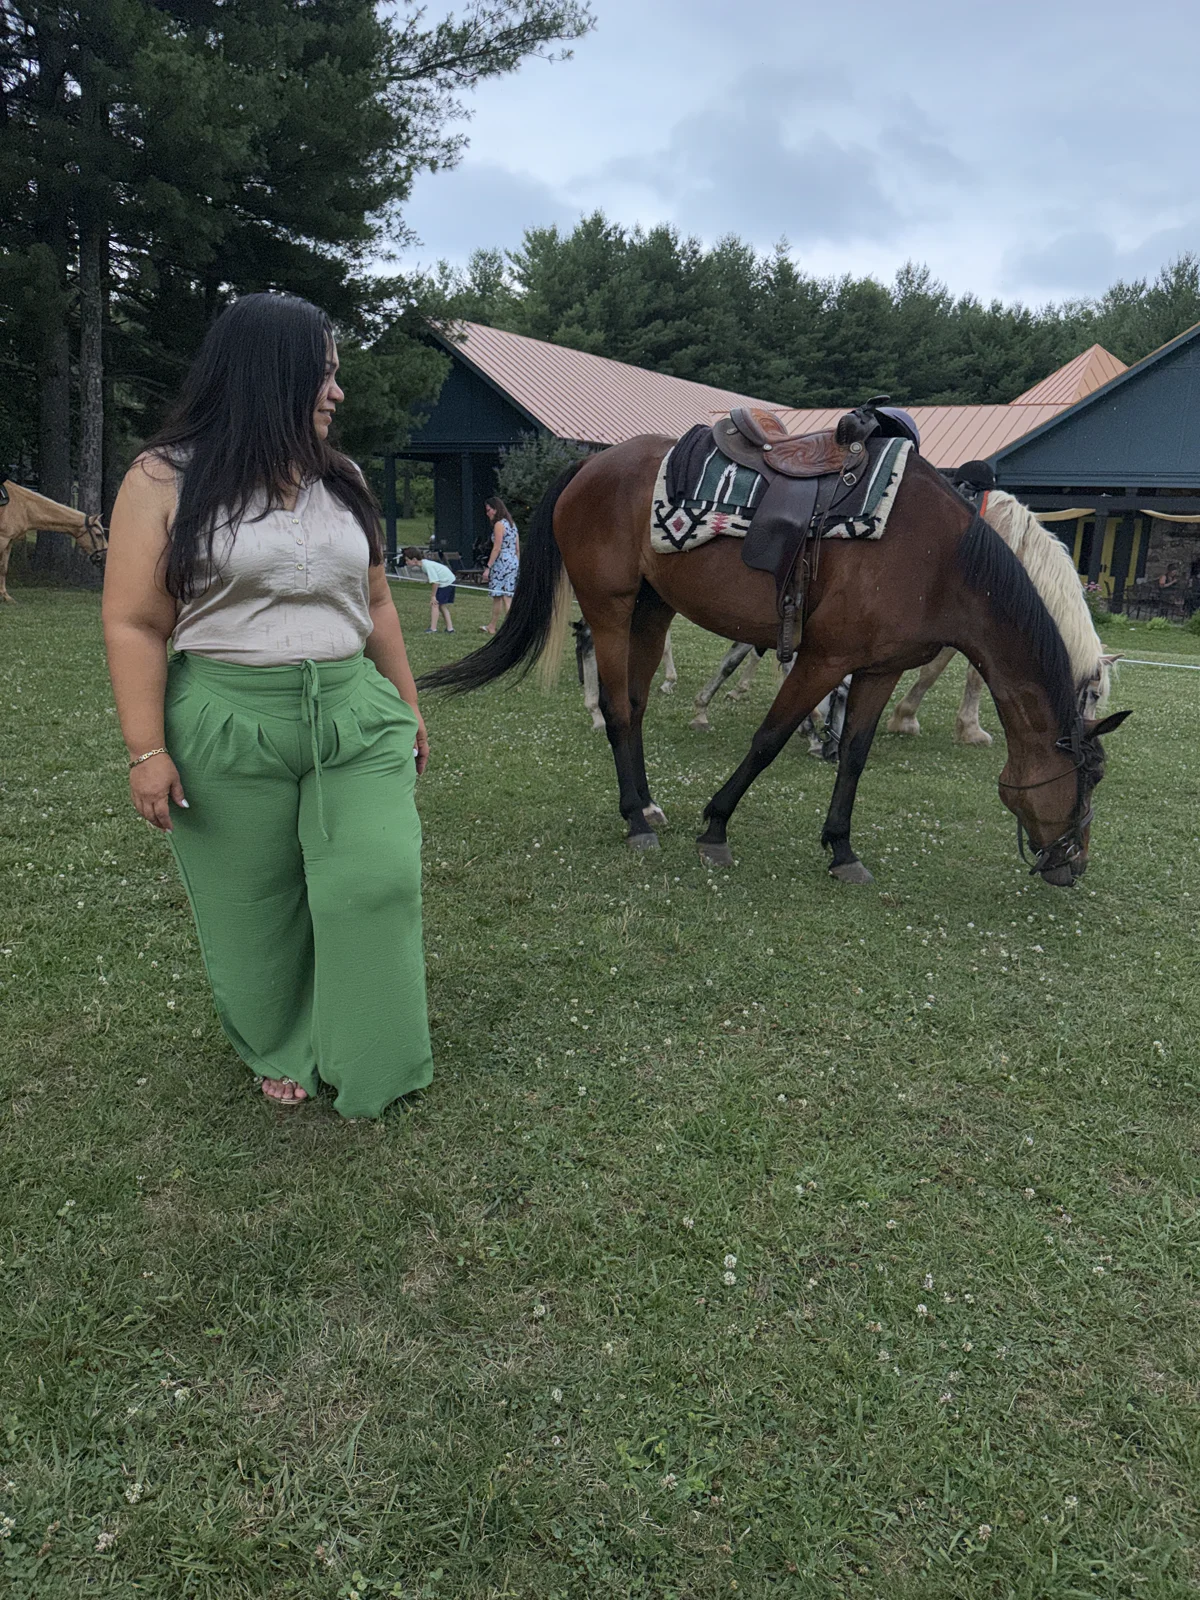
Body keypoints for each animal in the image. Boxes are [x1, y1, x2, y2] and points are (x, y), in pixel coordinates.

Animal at [421, 432, 1129, 888]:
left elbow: (855, 756)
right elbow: (768, 738)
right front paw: (716, 828)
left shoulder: (879, 666)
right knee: (617, 705)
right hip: (611, 606)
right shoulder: (824, 658)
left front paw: (841, 849)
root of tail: (588, 467)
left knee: (637, 706)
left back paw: (647, 806)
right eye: (1088, 779)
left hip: (652, 610)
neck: (940, 558)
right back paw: (633, 817)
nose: (1074, 866)